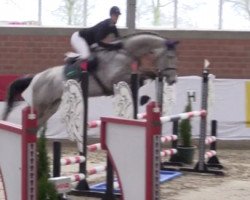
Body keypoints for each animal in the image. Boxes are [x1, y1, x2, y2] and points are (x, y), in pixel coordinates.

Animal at [1, 32, 178, 126]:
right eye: (169, 57)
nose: (173, 80)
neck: (125, 53)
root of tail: (37, 77)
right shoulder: (114, 79)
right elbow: (141, 78)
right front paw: (144, 95)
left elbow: (145, 75)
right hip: (41, 104)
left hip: (52, 106)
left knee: (39, 124)